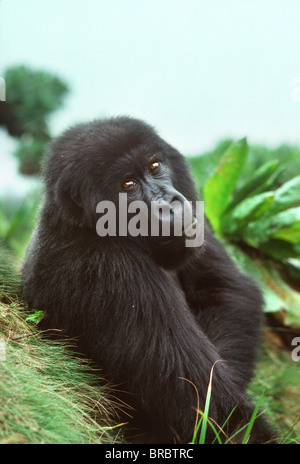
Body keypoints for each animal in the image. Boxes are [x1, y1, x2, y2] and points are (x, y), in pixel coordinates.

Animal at [21, 115, 274, 442]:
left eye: (154, 166)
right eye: (128, 185)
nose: (170, 203)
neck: (82, 225)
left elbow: (226, 291)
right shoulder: (114, 269)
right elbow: (214, 413)